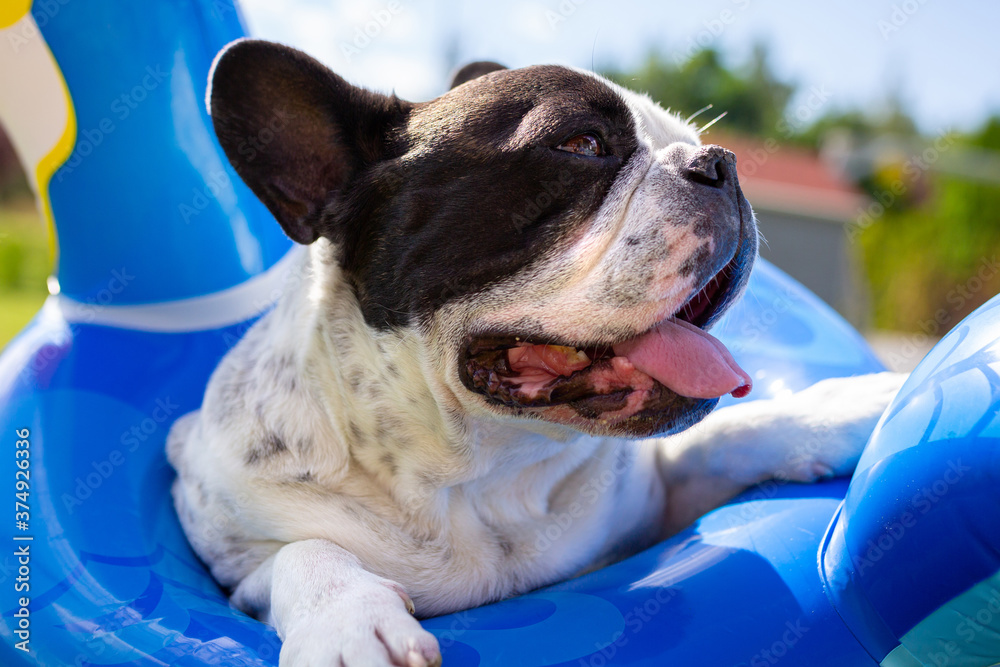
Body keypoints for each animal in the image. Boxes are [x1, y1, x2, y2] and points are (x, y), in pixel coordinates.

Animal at [168, 41, 904, 667]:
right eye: (581, 145)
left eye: (695, 144)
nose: (720, 163)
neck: (482, 474)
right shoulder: (235, 568)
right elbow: (305, 553)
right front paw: (346, 624)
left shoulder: (653, 501)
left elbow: (720, 436)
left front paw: (839, 408)